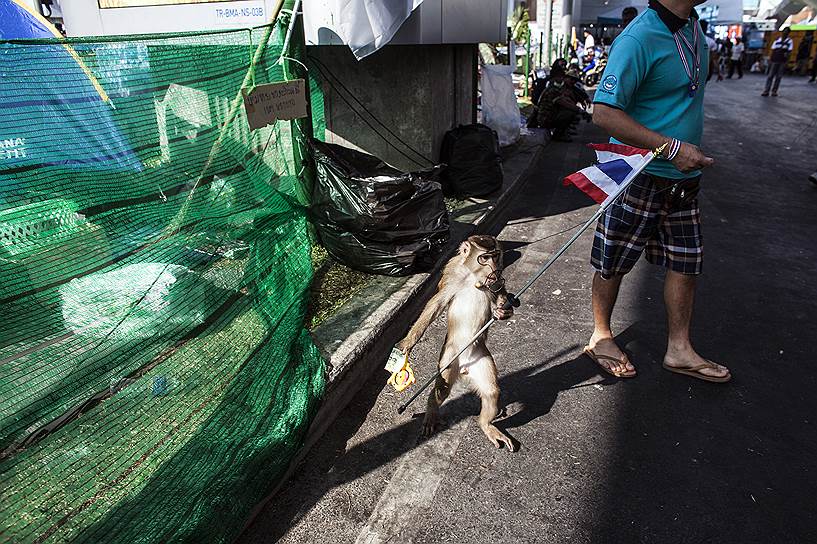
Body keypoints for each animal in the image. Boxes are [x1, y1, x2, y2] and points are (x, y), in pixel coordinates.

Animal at [396, 234, 516, 450]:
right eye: (484, 257)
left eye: (496, 256)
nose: (494, 268)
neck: (473, 277)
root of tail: (464, 368)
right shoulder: (451, 274)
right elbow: (434, 305)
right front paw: (407, 343)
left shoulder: (495, 281)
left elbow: (501, 295)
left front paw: (503, 311)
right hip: (449, 358)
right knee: (441, 390)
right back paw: (431, 414)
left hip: (481, 358)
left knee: (491, 392)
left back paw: (486, 425)